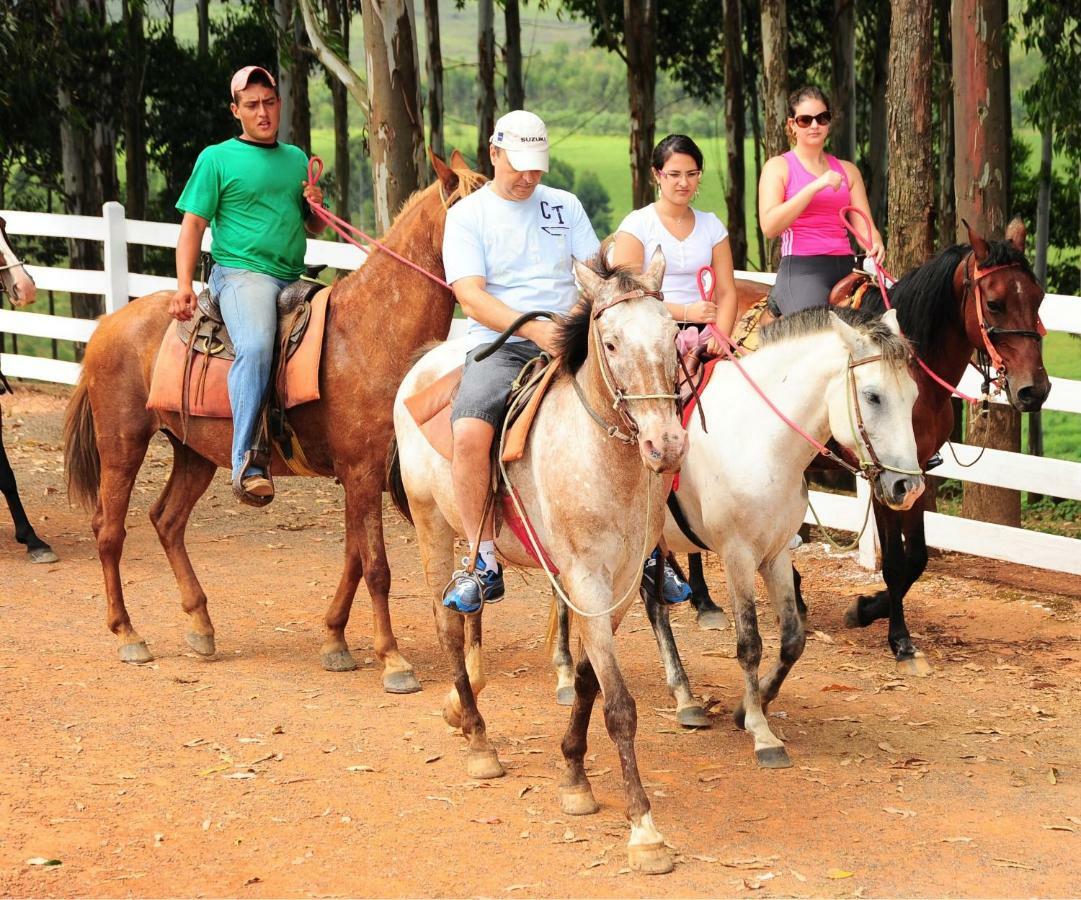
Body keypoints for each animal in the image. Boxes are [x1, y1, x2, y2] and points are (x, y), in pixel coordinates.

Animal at [60, 152, 482, 687]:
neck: (370, 332)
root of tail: (106, 326)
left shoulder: (356, 478)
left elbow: (353, 559)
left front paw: (335, 640)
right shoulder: (362, 473)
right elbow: (376, 566)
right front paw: (393, 660)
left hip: (194, 453)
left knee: (167, 521)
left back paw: (200, 625)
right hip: (122, 444)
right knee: (109, 530)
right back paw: (128, 634)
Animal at [393, 249, 687, 872]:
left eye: (674, 335)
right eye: (611, 343)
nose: (666, 446)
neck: (604, 459)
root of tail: (426, 362)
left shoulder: (620, 585)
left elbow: (589, 681)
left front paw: (574, 774)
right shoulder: (586, 579)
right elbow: (619, 704)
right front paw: (644, 830)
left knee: (470, 609)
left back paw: (462, 709)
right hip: (430, 524)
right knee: (447, 625)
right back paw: (479, 740)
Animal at [557, 306, 921, 764]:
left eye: (914, 396)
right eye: (873, 396)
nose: (909, 487)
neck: (762, 439)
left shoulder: (776, 553)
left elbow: (792, 639)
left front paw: (753, 705)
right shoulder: (738, 555)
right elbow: (749, 643)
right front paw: (762, 733)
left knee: (654, 606)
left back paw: (685, 698)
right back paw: (565, 674)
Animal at [683, 216, 1046, 665]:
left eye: (1039, 298)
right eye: (994, 303)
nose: (1035, 390)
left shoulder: (914, 471)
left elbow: (917, 559)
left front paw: (869, 608)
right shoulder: (882, 476)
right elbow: (894, 562)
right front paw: (896, 634)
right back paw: (704, 600)